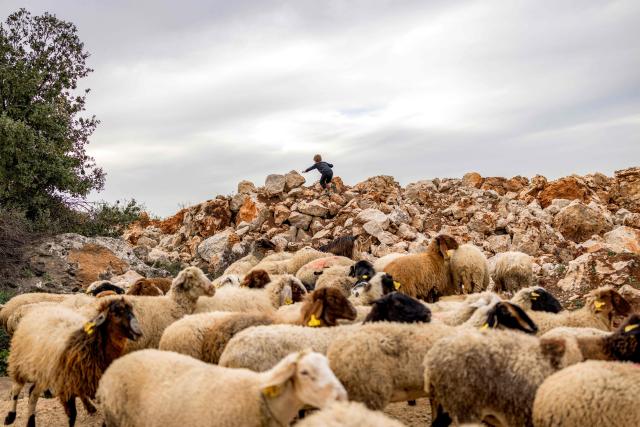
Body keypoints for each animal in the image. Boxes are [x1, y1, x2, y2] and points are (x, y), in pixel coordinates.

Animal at [5, 298, 141, 427]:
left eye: (132, 311)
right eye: (116, 313)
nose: (139, 332)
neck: (92, 343)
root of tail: (39, 310)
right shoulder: (66, 385)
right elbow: (72, 415)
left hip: (44, 370)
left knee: (33, 394)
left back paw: (31, 422)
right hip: (20, 363)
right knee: (16, 389)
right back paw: (10, 417)